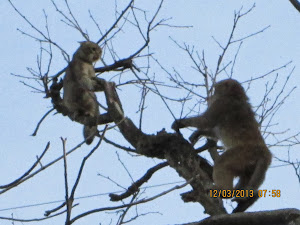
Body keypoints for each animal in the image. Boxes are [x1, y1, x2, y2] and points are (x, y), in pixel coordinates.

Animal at [171, 78, 272, 212]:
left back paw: (224, 191)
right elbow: (214, 132)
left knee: (222, 162)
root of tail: (264, 152)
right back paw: (247, 198)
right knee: (245, 176)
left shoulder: (222, 103)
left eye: (215, 89)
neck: (236, 96)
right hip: (251, 163)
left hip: (244, 153)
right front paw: (198, 133)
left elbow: (206, 121)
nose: (211, 96)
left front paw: (181, 122)